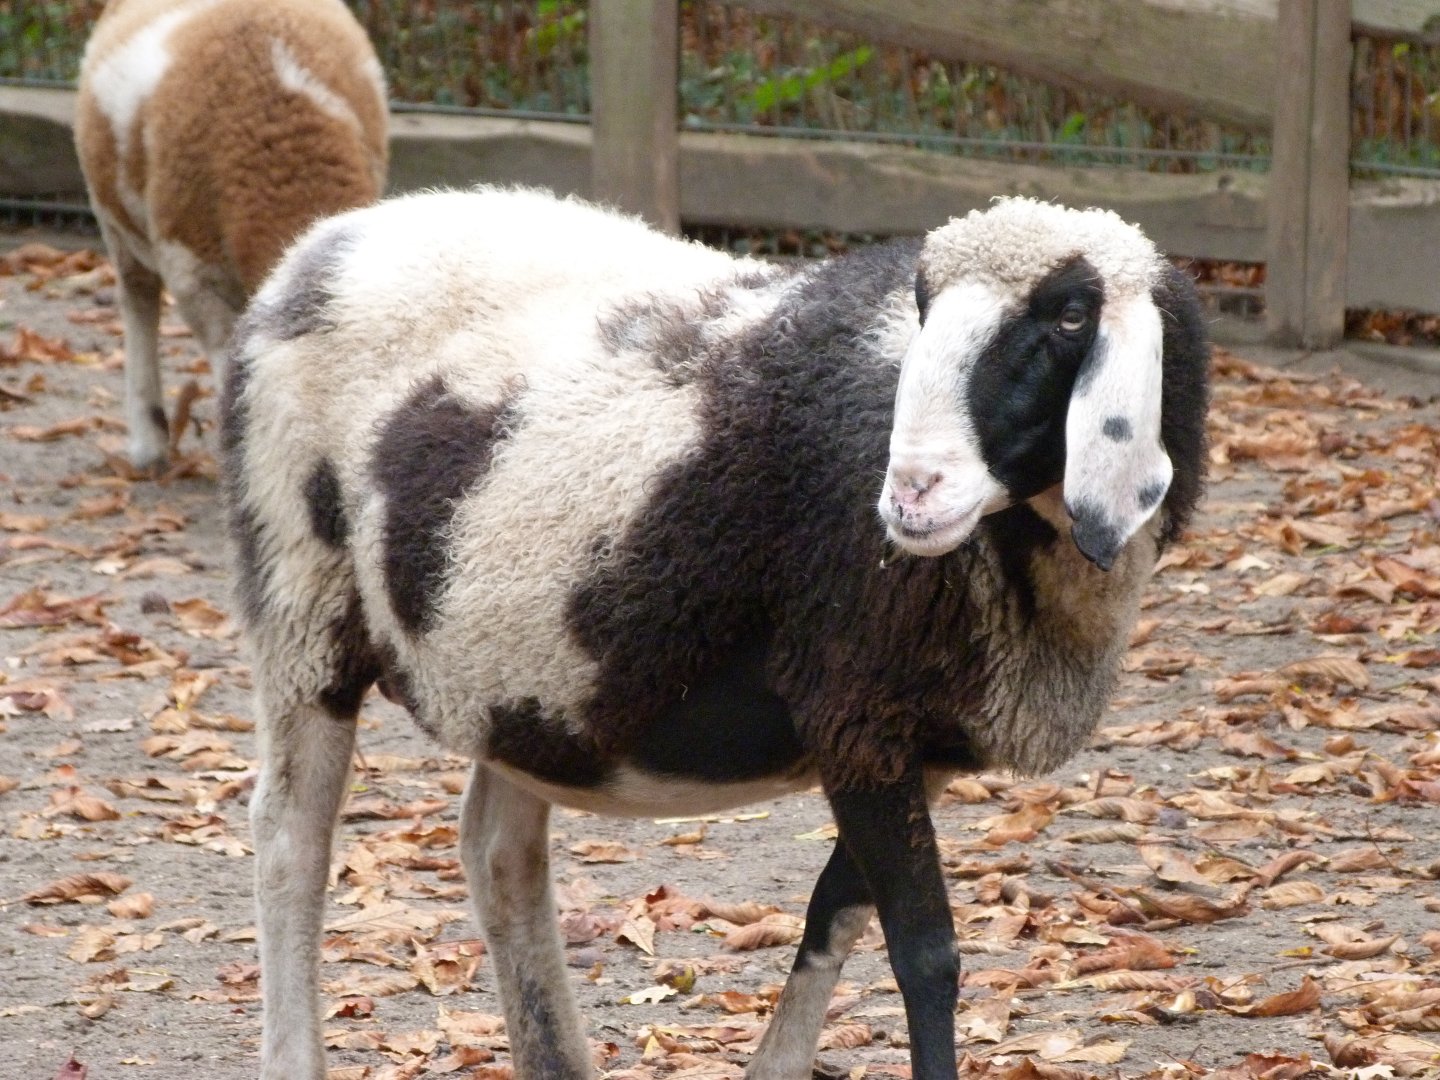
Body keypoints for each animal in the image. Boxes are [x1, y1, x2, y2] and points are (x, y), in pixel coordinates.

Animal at [221, 187, 1209, 1080]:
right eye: (924, 306)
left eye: (1071, 315)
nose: (910, 495)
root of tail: (324, 243)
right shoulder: (858, 709)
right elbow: (926, 955)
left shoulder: (900, 732)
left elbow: (836, 911)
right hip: (299, 590)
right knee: (290, 844)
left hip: (525, 670)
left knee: (498, 850)